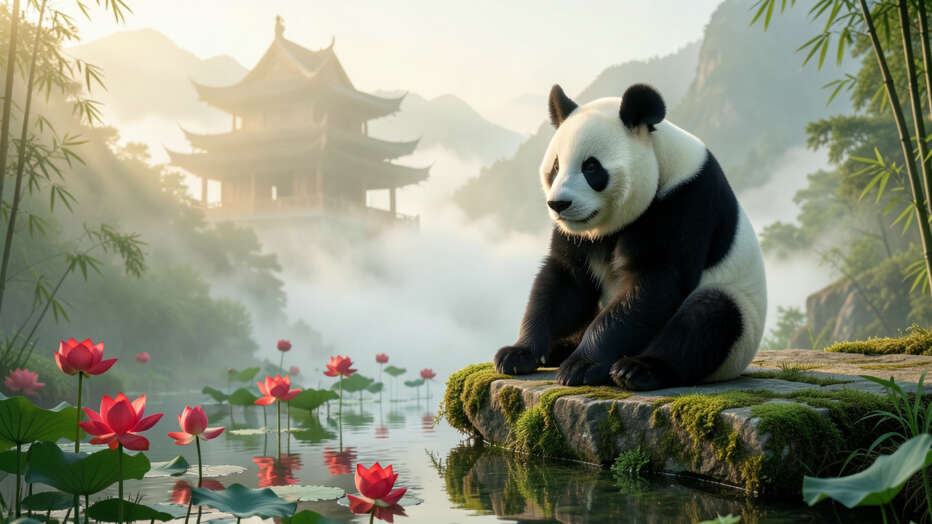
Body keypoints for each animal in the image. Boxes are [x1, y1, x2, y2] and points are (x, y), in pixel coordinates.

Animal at [493, 83, 767, 390]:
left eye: (591, 167)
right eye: (555, 167)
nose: (559, 204)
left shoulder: (685, 201)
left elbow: (652, 283)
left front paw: (582, 365)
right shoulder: (577, 235)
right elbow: (565, 282)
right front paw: (518, 354)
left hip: (740, 326)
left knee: (708, 318)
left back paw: (636, 369)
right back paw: (559, 348)